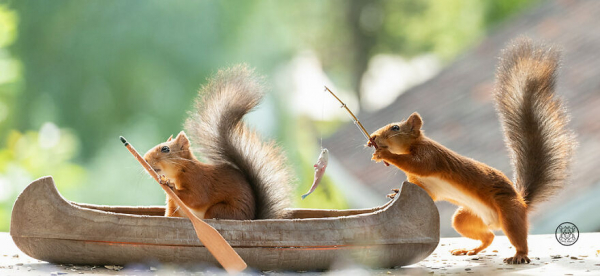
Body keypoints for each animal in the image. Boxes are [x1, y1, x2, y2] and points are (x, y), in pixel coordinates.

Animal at [145, 64, 296, 220]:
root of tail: (251, 217)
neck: (180, 170)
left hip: (219, 210)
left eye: (165, 149)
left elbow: (196, 198)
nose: (145, 159)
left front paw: (170, 185)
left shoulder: (198, 181)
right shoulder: (174, 204)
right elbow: (172, 214)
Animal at [368, 37, 576, 264]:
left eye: (395, 128)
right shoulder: (426, 185)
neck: (414, 145)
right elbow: (427, 192)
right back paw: (470, 250)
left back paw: (519, 255)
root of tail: (522, 202)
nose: (373, 138)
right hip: (466, 218)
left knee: (517, 236)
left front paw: (385, 155)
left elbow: (415, 164)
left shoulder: (430, 156)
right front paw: (396, 191)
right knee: (489, 236)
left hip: (509, 212)